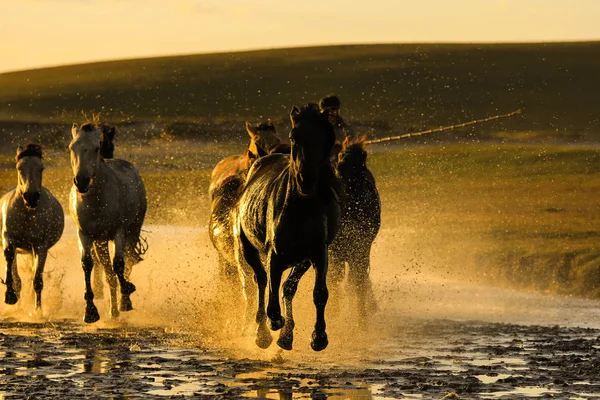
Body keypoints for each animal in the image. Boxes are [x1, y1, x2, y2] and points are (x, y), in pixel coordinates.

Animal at [1, 145, 64, 312]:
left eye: (41, 168)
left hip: (33, 250)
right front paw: (10, 296)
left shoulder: (40, 247)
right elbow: (12, 269)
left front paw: (37, 311)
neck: (27, 214)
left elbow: (37, 280)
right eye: (19, 168)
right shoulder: (9, 240)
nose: (31, 197)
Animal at [68, 118, 146, 322]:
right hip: (100, 242)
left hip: (133, 230)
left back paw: (124, 302)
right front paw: (90, 311)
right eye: (72, 147)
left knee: (127, 260)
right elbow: (87, 264)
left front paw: (127, 291)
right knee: (108, 271)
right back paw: (113, 312)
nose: (81, 182)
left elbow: (119, 263)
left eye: (96, 148)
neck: (96, 201)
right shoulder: (85, 235)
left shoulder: (118, 231)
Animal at [234, 104, 340, 352]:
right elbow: (272, 297)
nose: (305, 180)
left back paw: (286, 335)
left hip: (302, 259)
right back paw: (263, 333)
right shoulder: (275, 254)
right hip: (248, 248)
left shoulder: (318, 253)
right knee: (261, 280)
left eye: (327, 137)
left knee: (288, 288)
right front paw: (275, 323)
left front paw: (318, 338)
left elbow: (319, 293)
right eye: (293, 136)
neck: (300, 207)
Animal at [328, 136, 380, 324]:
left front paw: (362, 319)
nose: (341, 167)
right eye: (340, 157)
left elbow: (358, 280)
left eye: (362, 159)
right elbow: (334, 279)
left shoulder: (361, 248)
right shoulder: (334, 252)